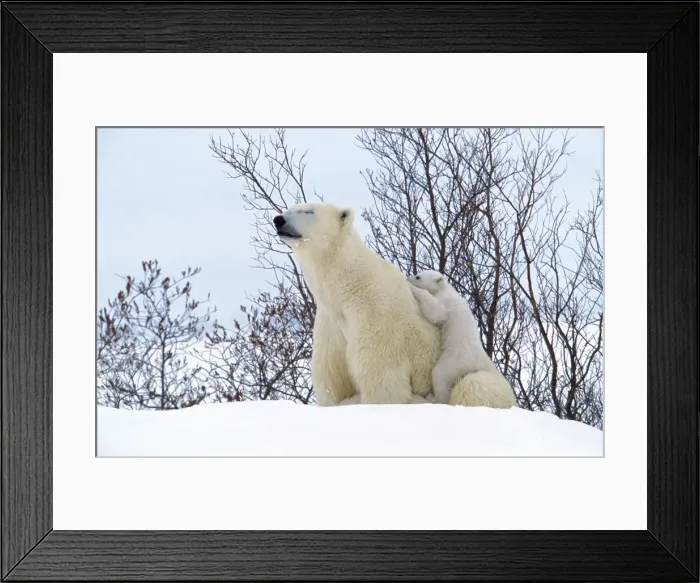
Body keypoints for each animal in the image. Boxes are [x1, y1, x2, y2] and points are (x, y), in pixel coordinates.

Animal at [272, 202, 442, 405]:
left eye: (308, 211)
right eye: (289, 208)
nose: (278, 219)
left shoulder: (378, 322)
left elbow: (383, 381)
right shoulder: (330, 325)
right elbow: (332, 380)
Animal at [408, 269, 517, 409]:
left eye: (418, 277)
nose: (409, 278)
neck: (445, 289)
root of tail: (477, 364)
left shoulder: (446, 302)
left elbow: (437, 312)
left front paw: (413, 288)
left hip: (456, 359)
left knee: (439, 375)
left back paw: (433, 398)